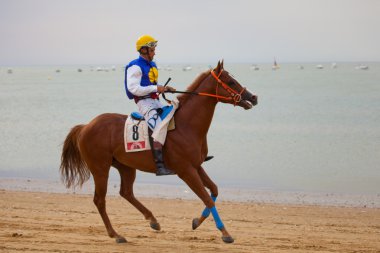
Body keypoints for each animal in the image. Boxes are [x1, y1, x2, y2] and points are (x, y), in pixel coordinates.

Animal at [60, 60, 258, 243]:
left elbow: (214, 190)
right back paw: (116, 234)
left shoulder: (197, 166)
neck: (186, 125)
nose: (254, 97)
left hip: (126, 166)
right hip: (100, 169)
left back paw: (153, 220)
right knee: (100, 200)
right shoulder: (186, 171)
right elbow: (206, 198)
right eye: (231, 81)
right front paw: (225, 233)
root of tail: (86, 126)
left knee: (126, 192)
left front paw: (197, 221)